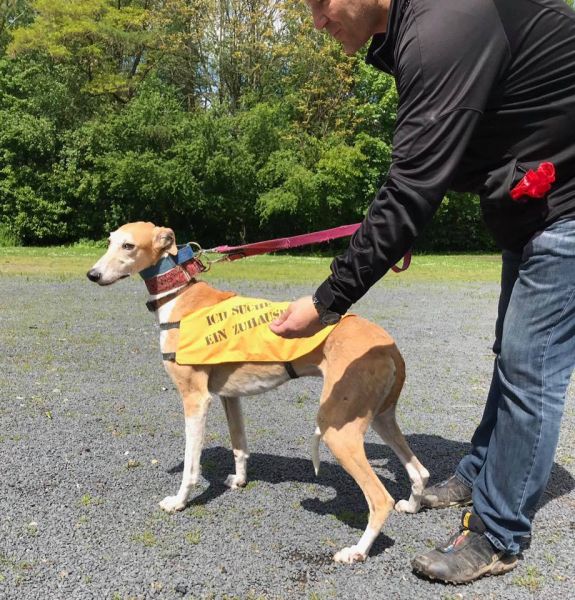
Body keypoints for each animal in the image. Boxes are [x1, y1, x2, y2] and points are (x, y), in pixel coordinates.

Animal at [87, 221, 429, 563]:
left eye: (129, 246)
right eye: (110, 241)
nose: (92, 274)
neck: (179, 296)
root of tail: (390, 346)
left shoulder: (195, 398)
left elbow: (190, 465)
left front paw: (179, 501)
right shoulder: (228, 396)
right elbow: (239, 445)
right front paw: (238, 481)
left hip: (338, 429)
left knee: (380, 499)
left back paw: (357, 551)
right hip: (379, 418)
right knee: (420, 472)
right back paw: (411, 505)